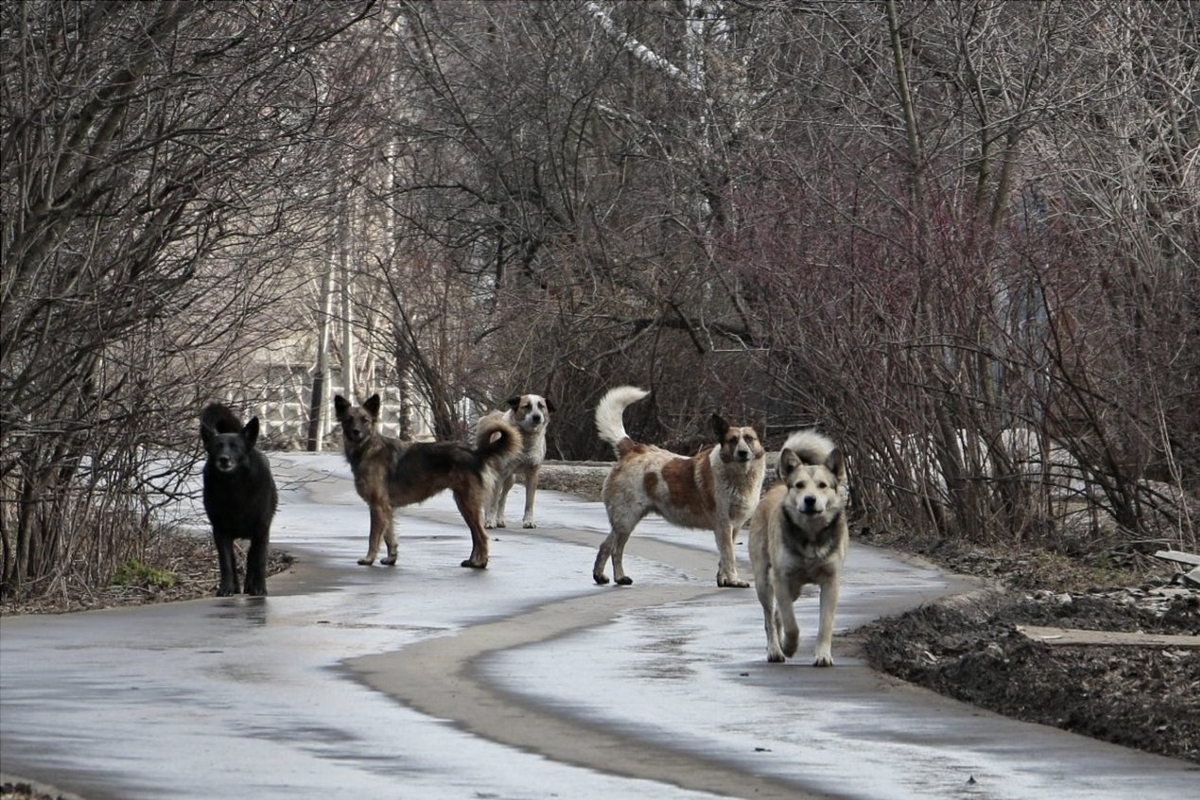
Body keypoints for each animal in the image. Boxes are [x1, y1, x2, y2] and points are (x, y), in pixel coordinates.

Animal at [200, 407, 277, 594]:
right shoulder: (220, 531)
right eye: (216, 447)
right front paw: (226, 588)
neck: (234, 487)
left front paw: (259, 588)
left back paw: (250, 586)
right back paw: (235, 587)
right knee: (234, 560)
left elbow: (259, 561)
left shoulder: (262, 530)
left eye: (236, 448)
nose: (224, 459)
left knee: (252, 557)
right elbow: (226, 562)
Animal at [333, 393, 520, 568]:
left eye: (365, 420)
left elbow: (373, 536)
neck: (368, 448)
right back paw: (473, 560)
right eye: (349, 420)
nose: (356, 432)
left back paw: (480, 563)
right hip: (464, 504)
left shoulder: (377, 506)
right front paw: (391, 557)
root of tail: (476, 453)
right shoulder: (386, 508)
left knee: (481, 536)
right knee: (476, 536)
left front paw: (369, 559)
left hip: (467, 503)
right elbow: (389, 536)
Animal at [477, 395, 552, 532]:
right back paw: (488, 518)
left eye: (541, 406)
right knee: (491, 498)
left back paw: (500, 520)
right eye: (526, 406)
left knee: (502, 499)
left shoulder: (533, 473)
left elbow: (529, 502)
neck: (525, 438)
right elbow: (492, 502)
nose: (537, 417)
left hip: (510, 479)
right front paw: (490, 521)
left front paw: (528, 522)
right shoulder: (499, 473)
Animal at [592, 386, 768, 587]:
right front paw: (734, 580)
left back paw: (600, 576)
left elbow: (723, 557)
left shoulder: (734, 527)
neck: (738, 477)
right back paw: (621, 577)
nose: (743, 452)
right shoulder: (724, 524)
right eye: (732, 440)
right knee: (616, 549)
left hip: (623, 521)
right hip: (627, 520)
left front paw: (723, 579)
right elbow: (730, 557)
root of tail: (633, 449)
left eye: (750, 438)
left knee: (605, 545)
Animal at [748, 429, 854, 666]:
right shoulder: (781, 579)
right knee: (770, 616)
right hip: (764, 581)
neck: (811, 536)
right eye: (799, 485)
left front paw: (823, 655)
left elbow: (825, 624)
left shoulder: (831, 581)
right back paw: (775, 649)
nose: (810, 500)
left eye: (823, 485)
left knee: (776, 615)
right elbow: (791, 623)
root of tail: (778, 484)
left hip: (794, 588)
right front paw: (789, 646)